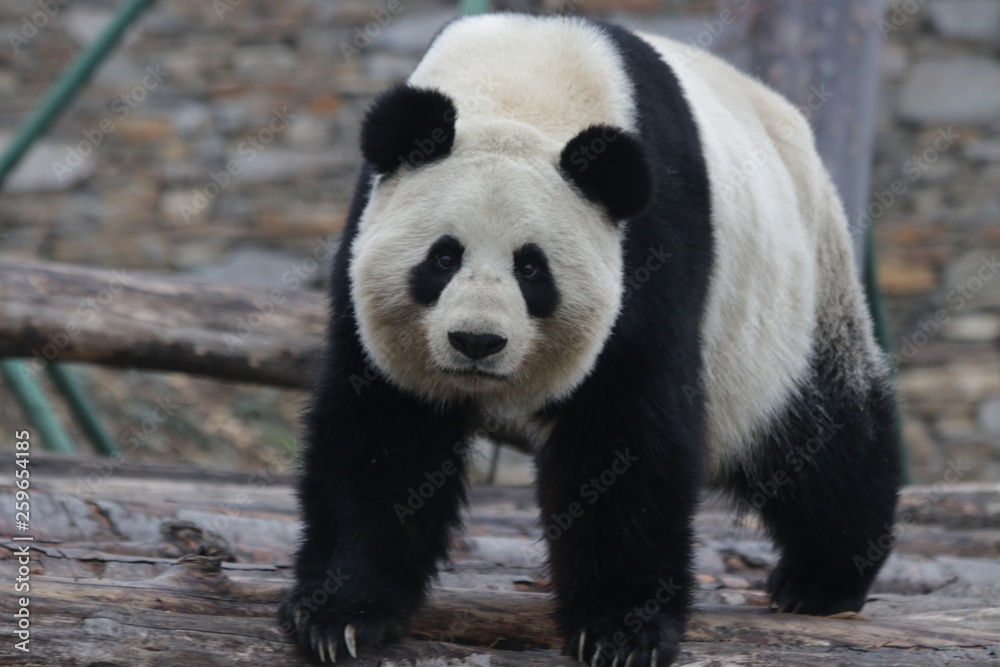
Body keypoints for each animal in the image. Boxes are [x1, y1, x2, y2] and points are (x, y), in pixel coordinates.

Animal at [278, 11, 904, 667]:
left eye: (531, 268)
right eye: (443, 257)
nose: (477, 342)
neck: (520, 87)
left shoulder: (651, 243)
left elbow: (627, 430)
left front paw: (621, 632)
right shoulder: (367, 240)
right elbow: (385, 432)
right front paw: (340, 616)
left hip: (797, 296)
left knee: (822, 440)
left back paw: (822, 579)